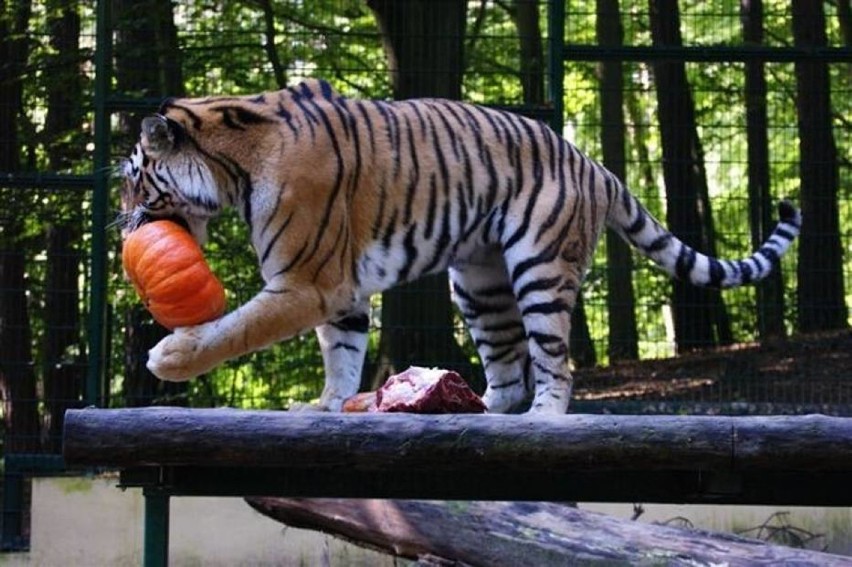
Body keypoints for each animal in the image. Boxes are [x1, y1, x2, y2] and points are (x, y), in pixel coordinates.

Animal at [120, 80, 800, 414]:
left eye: (132, 178)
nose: (124, 228)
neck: (233, 166)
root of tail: (592, 163)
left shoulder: (306, 281)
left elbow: (238, 328)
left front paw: (171, 358)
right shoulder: (340, 291)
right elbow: (341, 353)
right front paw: (327, 406)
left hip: (539, 268)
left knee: (554, 362)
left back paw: (544, 417)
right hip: (477, 282)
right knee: (508, 365)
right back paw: (476, 408)